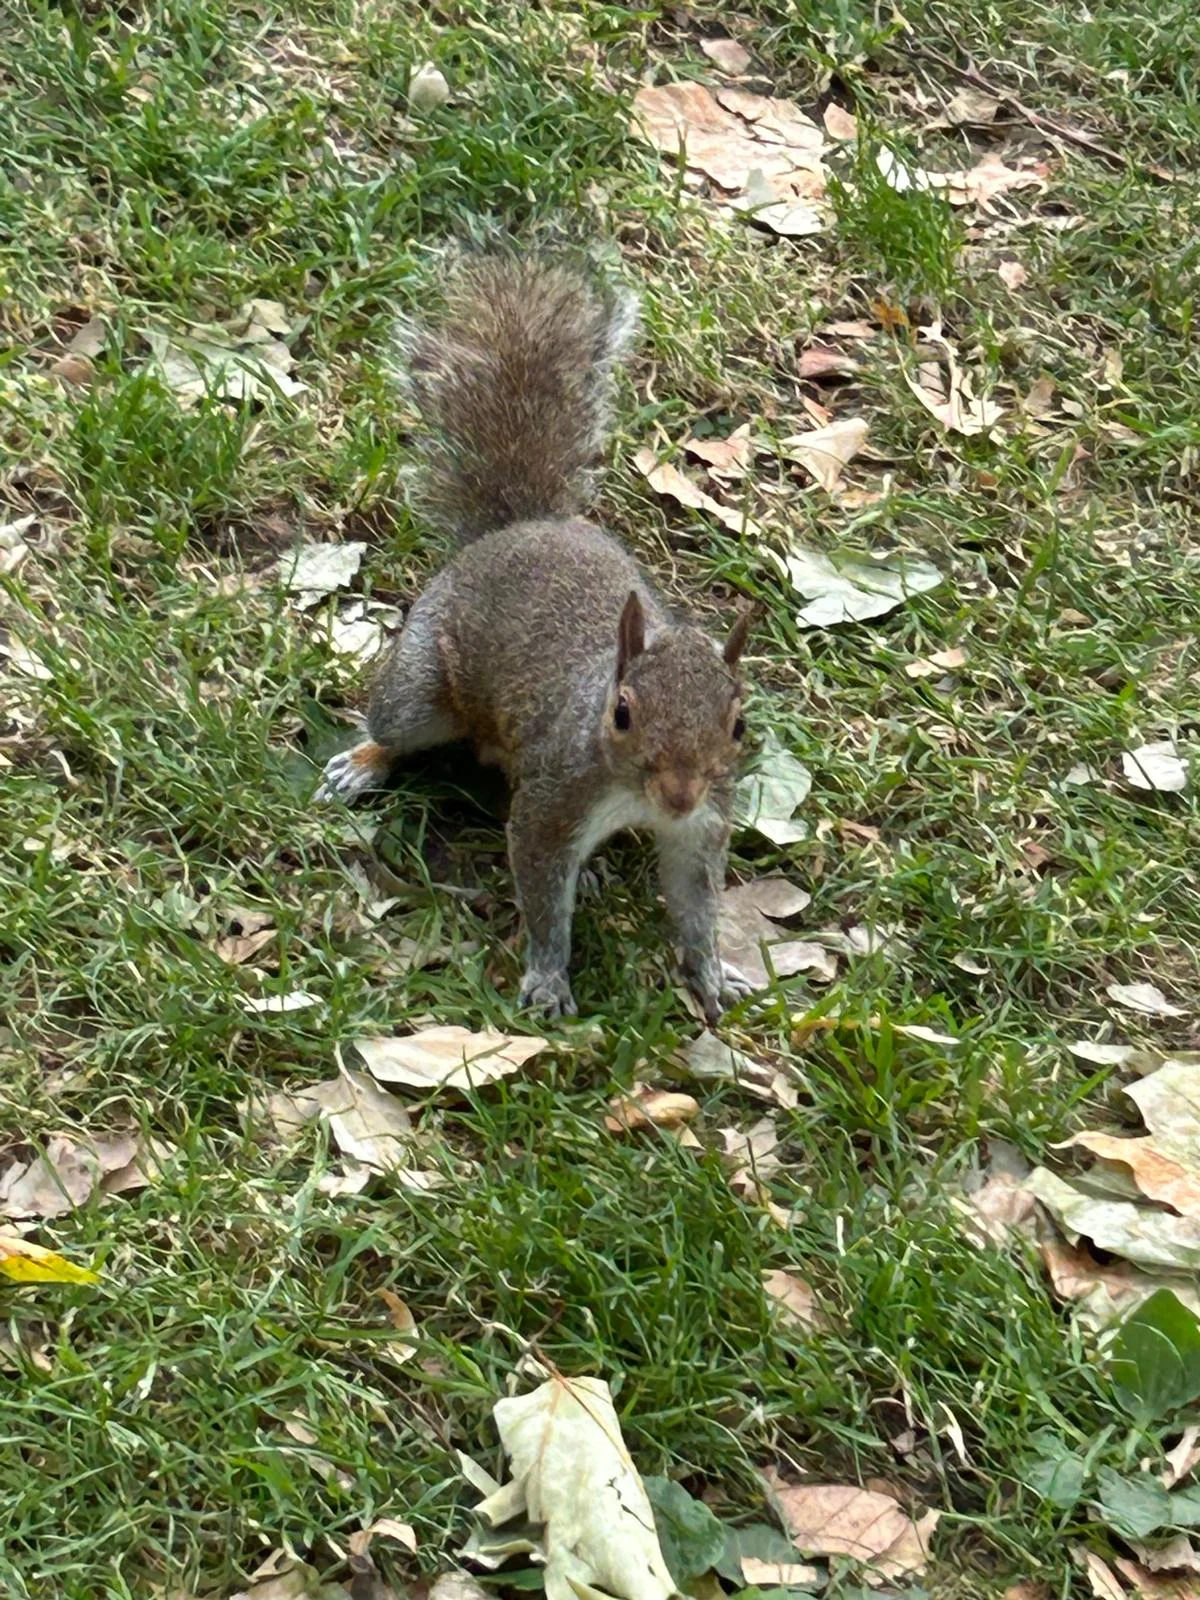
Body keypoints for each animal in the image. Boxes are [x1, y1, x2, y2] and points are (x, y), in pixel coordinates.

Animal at [320, 256, 752, 1017]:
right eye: (622, 713)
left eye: (739, 724)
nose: (678, 794)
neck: (634, 795)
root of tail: (521, 528)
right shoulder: (554, 802)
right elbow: (544, 895)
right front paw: (550, 981)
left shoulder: (701, 827)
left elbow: (696, 903)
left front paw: (710, 973)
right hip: (420, 686)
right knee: (397, 725)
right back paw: (364, 762)